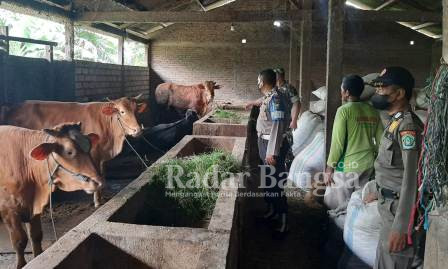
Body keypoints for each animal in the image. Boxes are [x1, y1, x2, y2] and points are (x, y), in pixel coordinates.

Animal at [0, 122, 102, 266]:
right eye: (69, 151)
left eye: (89, 145)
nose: (98, 182)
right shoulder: (8, 210)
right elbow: (19, 241)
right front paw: (21, 265)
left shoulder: (33, 209)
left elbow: (36, 236)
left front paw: (37, 257)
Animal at [3, 95, 147, 206]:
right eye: (122, 112)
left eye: (137, 111)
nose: (138, 130)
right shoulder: (93, 153)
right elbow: (96, 174)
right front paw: (97, 201)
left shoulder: (102, 156)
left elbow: (102, 173)